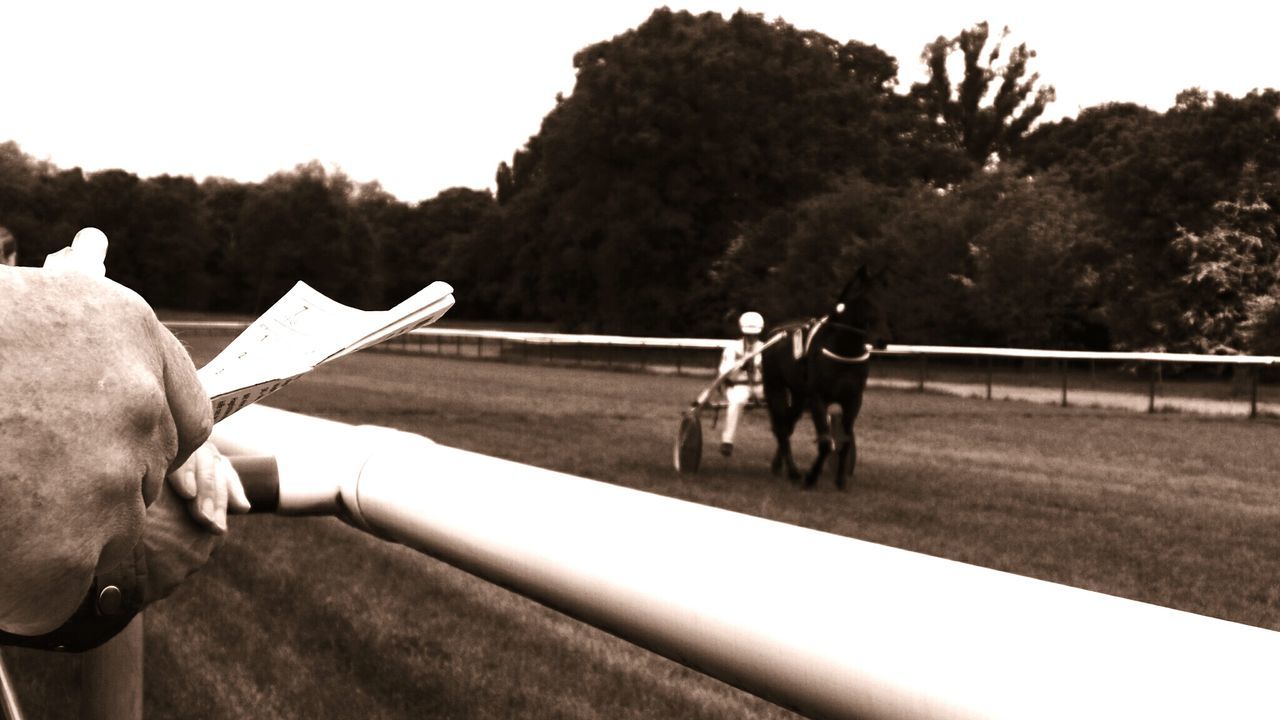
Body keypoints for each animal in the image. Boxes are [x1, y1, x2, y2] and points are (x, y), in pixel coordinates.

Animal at [762, 269, 885, 486]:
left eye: (884, 298)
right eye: (866, 301)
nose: (882, 340)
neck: (844, 352)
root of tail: (774, 333)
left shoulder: (853, 400)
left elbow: (845, 441)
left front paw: (840, 480)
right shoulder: (818, 398)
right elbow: (826, 442)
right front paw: (811, 477)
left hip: (799, 395)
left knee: (788, 424)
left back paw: (779, 466)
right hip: (775, 387)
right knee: (782, 429)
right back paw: (793, 472)